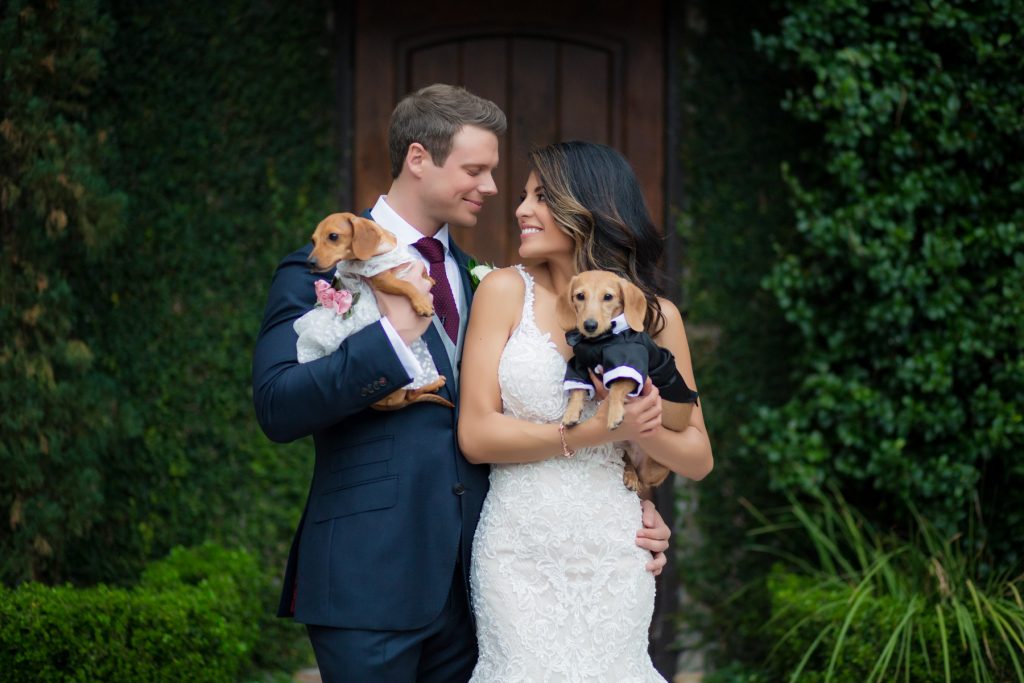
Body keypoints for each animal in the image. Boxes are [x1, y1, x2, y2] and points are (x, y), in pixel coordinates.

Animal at [307, 210, 452, 409]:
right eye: (313, 240)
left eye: (333, 236)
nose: (310, 262)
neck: (382, 250)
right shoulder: (383, 279)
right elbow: (407, 285)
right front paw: (422, 302)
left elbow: (422, 273)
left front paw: (429, 279)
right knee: (411, 393)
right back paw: (433, 383)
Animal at [561, 270, 696, 493]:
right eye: (580, 296)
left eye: (608, 296)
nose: (589, 325)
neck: (600, 342)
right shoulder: (579, 365)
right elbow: (577, 390)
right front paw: (571, 413)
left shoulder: (632, 365)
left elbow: (616, 388)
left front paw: (614, 414)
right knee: (627, 461)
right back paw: (630, 474)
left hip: (655, 467)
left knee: (644, 483)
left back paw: (635, 479)